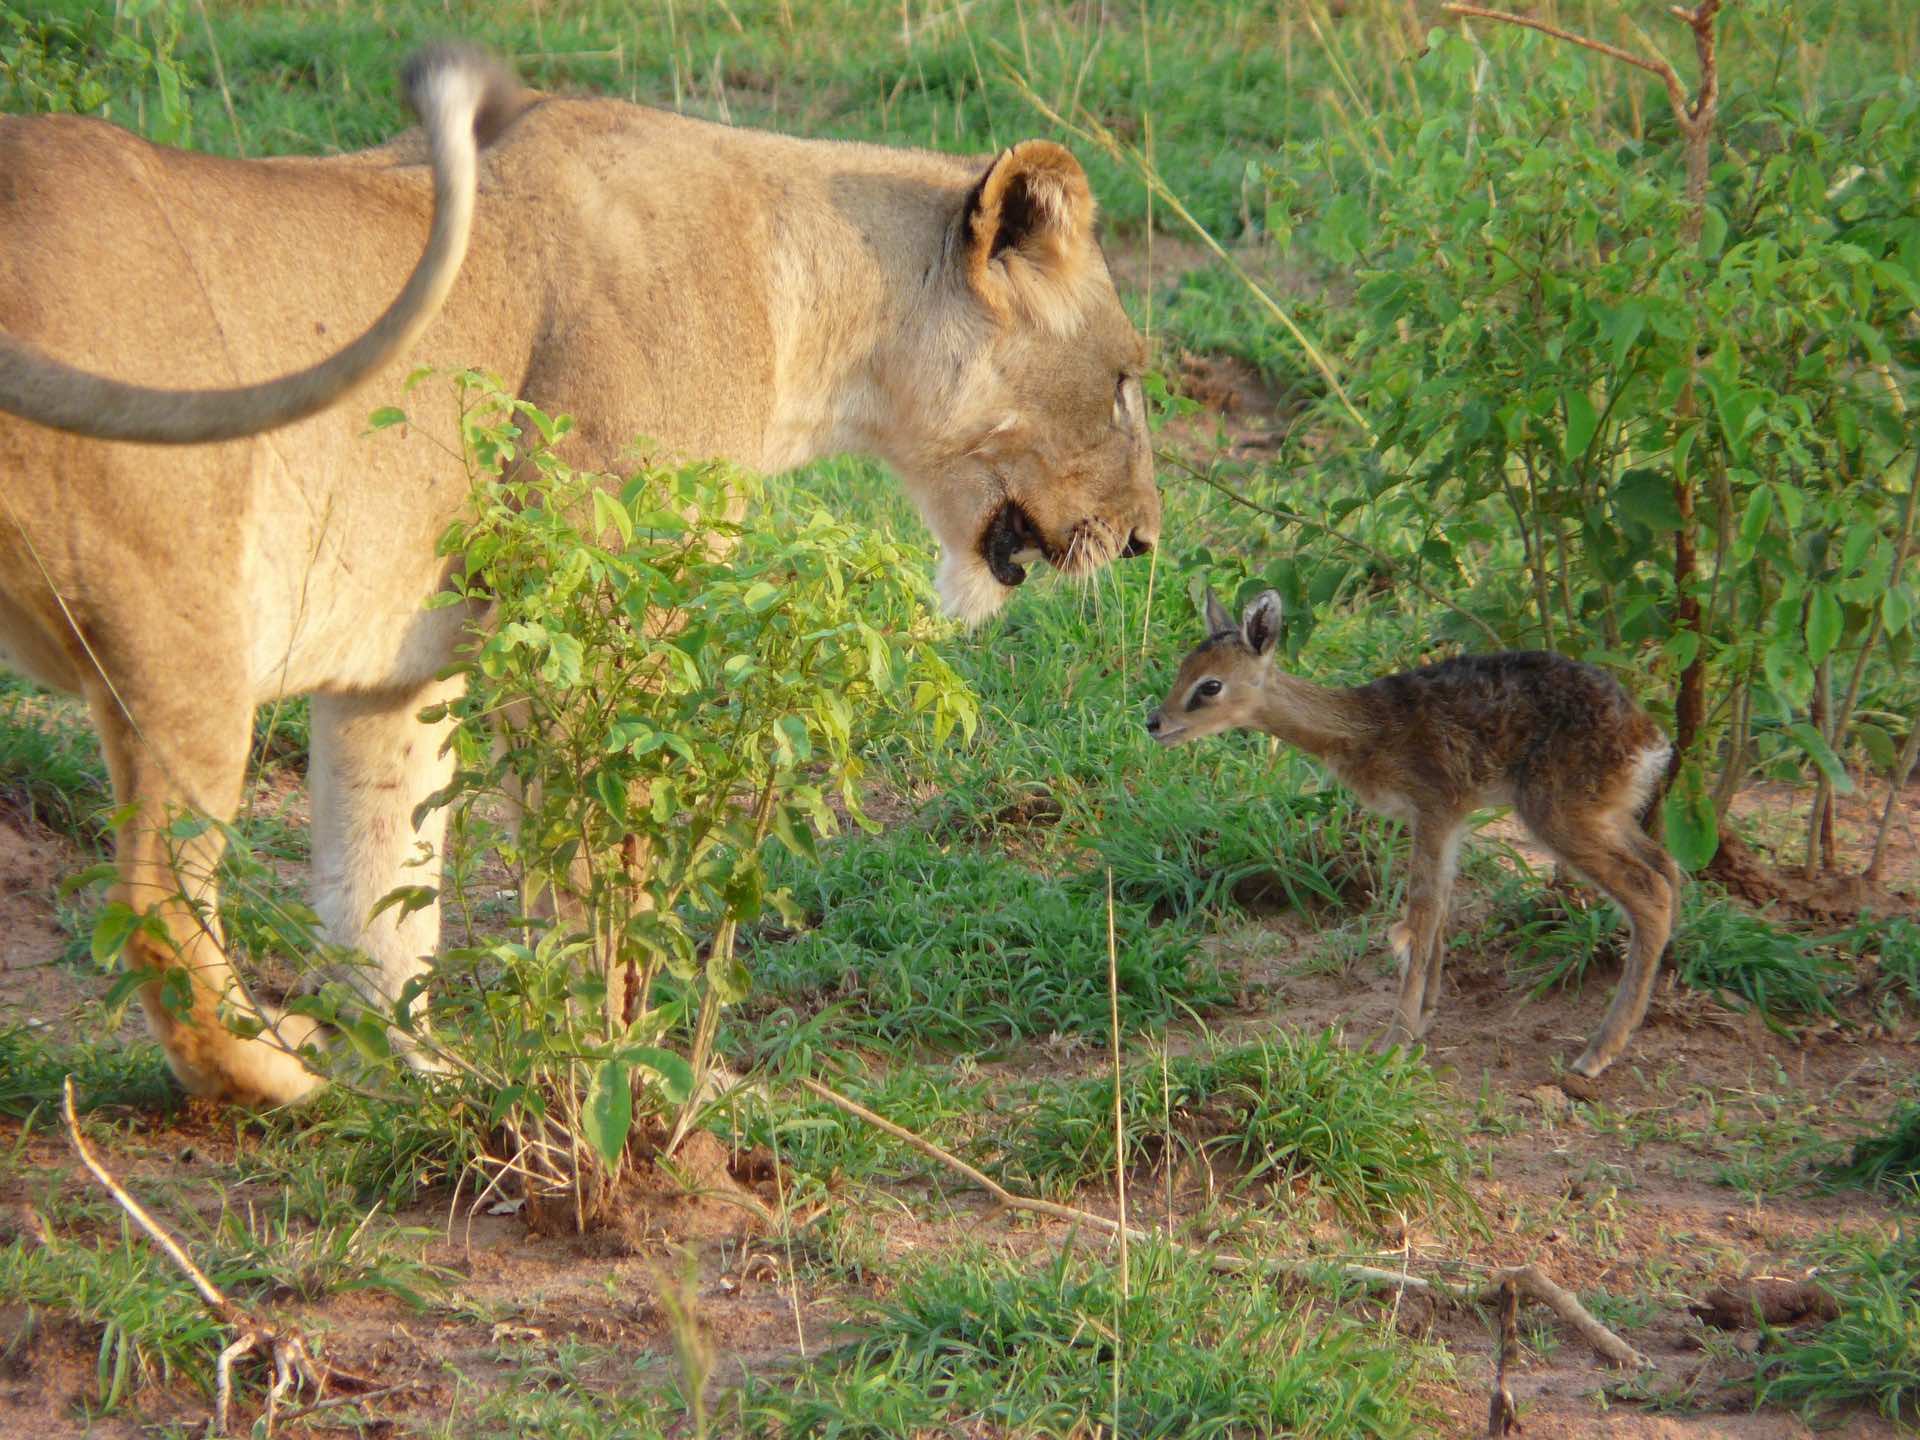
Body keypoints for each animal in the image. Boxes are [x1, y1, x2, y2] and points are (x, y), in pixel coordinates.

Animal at [1144, 591, 1674, 1075]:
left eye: (1210, 685)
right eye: (1182, 667)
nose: (1154, 722)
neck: (1363, 729)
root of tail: (1648, 740)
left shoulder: (1434, 808)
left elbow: (1420, 914)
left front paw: (1393, 1044)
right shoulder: (1448, 820)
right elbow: (1437, 912)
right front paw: (1423, 1019)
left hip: (1558, 816)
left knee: (1650, 892)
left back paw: (1595, 1054)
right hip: (1606, 815)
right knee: (1667, 867)